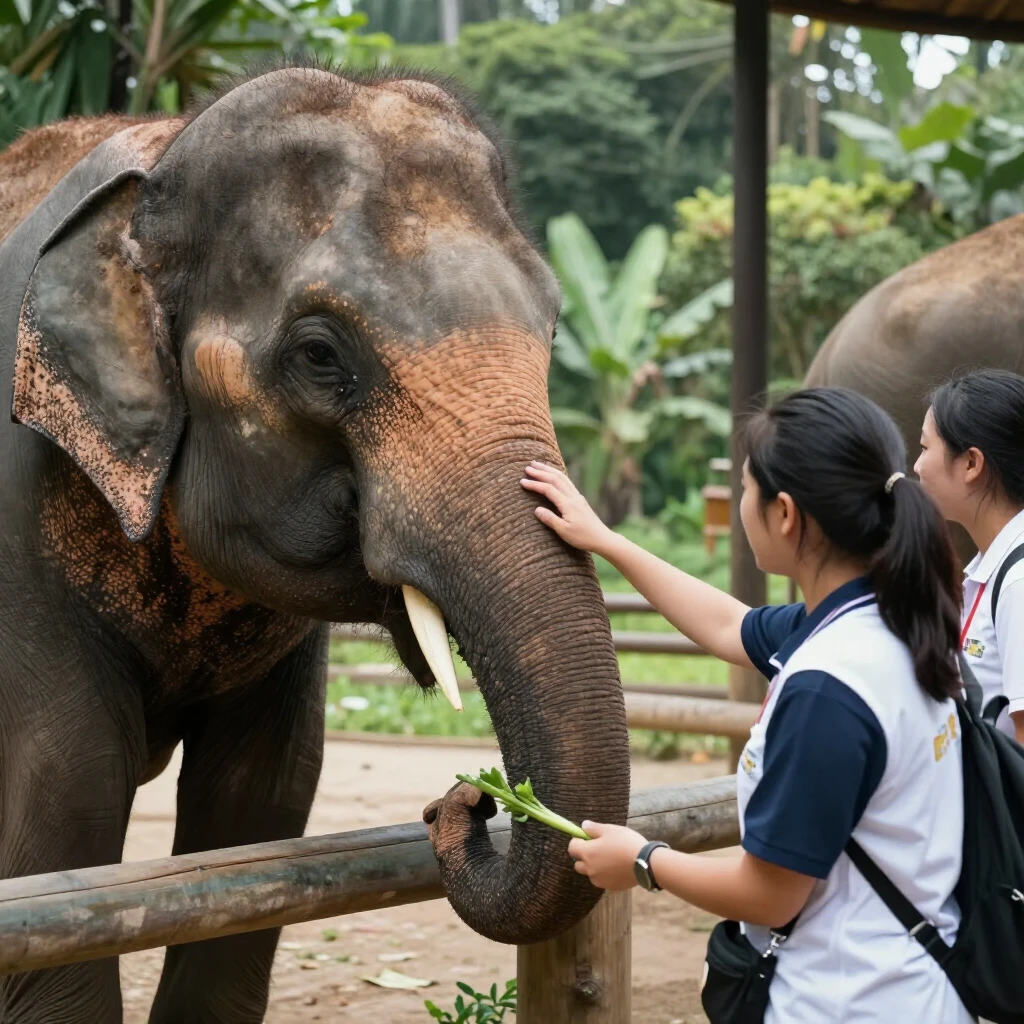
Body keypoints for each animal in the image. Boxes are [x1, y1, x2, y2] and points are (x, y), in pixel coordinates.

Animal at [0, 65, 629, 1022]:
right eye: (322, 355)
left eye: (554, 328)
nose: (468, 802)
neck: (162, 156)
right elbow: (61, 811)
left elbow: (259, 809)